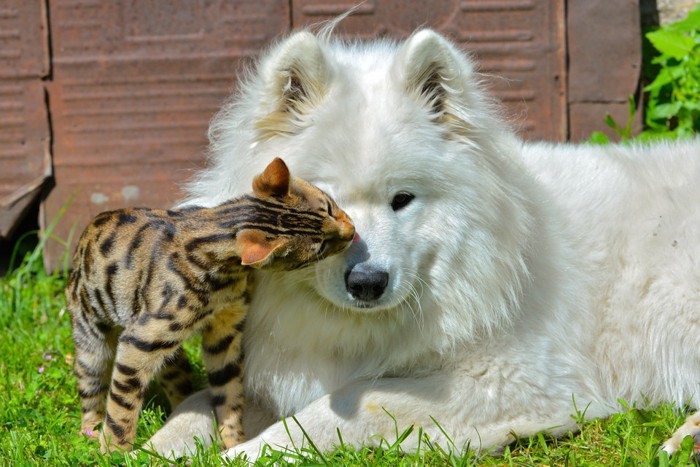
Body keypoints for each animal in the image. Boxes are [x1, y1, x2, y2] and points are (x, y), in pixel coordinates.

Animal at [65, 158, 356, 454]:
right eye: (320, 248)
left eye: (329, 207)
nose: (353, 232)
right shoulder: (138, 341)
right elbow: (121, 406)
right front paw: (113, 451)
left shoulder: (224, 335)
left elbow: (229, 397)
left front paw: (234, 445)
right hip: (92, 342)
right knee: (91, 390)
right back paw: (89, 432)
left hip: (171, 354)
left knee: (177, 380)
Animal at [145, 25, 696, 460]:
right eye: (322, 206)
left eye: (402, 199)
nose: (367, 282)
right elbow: (195, 408)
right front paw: (146, 449)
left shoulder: (511, 381)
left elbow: (343, 410)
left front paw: (247, 454)